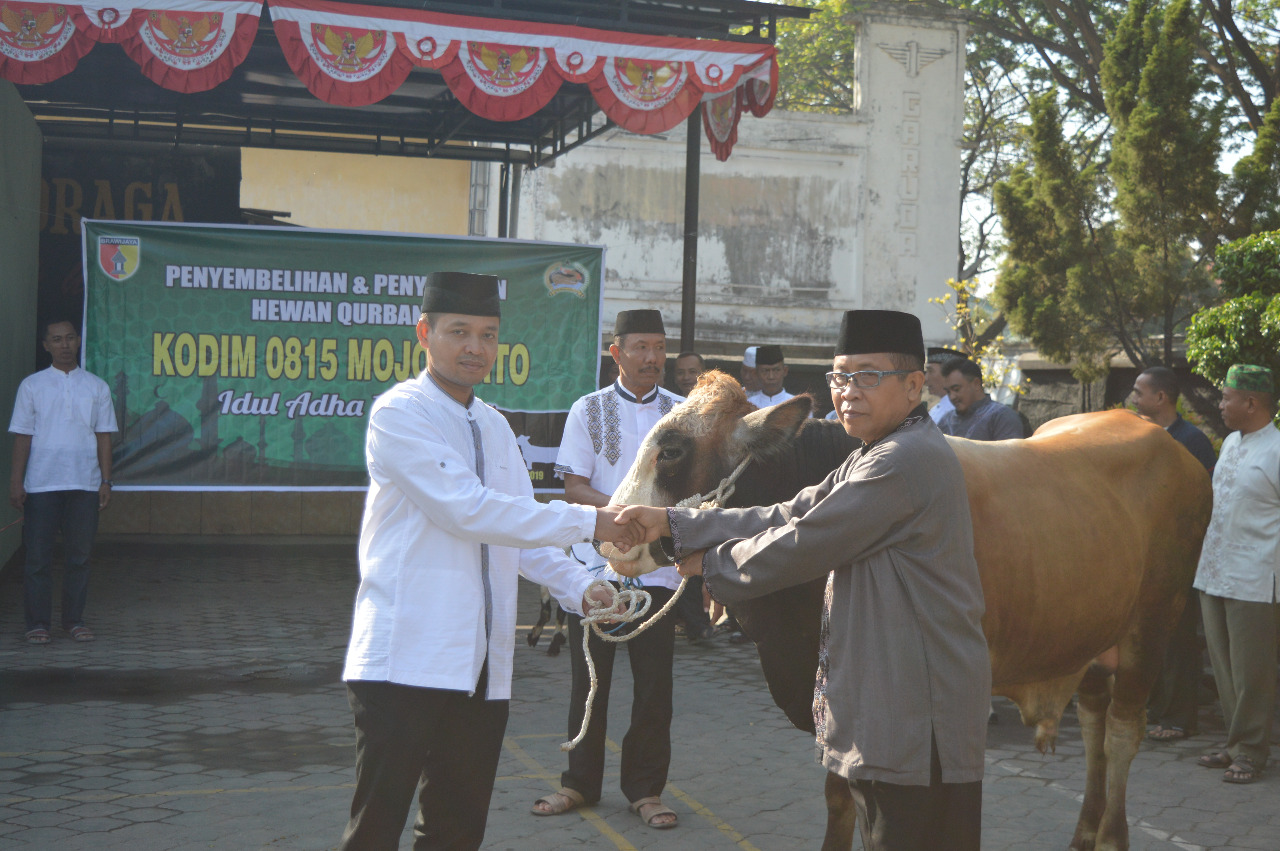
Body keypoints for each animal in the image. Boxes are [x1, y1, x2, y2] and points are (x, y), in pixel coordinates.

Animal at [599, 371, 1208, 849]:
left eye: (672, 450)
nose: (613, 531)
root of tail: (1170, 447)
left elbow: (852, 797)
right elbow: (839, 800)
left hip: (1153, 623)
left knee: (1124, 733)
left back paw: (1110, 836)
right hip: (1091, 633)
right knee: (1094, 723)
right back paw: (1084, 832)